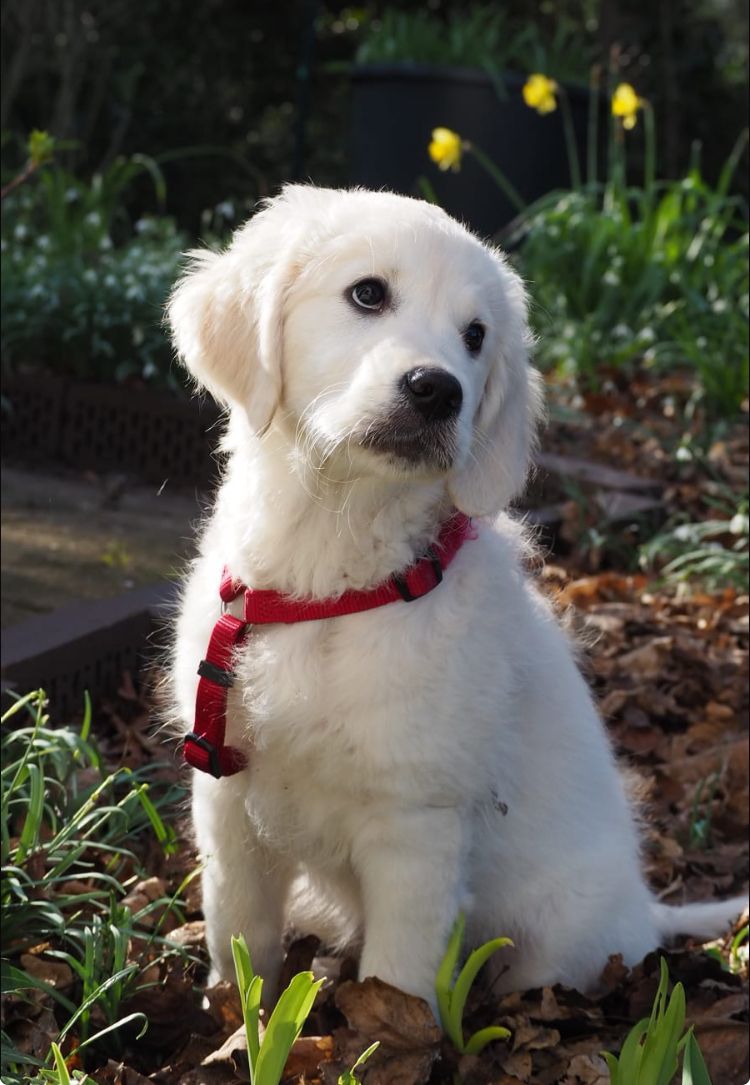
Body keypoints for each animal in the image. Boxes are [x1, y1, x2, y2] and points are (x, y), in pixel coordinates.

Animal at [168, 186, 746, 1006]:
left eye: (476, 337)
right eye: (367, 293)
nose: (438, 389)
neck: (331, 579)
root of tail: (645, 908)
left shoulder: (417, 825)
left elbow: (396, 977)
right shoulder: (226, 801)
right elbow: (239, 939)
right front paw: (230, 1013)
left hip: (552, 948)